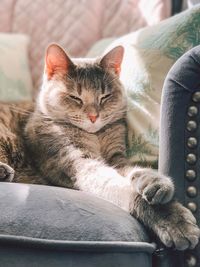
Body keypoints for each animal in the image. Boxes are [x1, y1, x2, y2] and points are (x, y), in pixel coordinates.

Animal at [0, 44, 200, 251]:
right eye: (75, 97)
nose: (93, 116)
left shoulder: (116, 157)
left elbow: (135, 170)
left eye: (105, 97)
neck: (95, 137)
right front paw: (174, 222)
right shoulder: (77, 163)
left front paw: (157, 183)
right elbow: (122, 189)